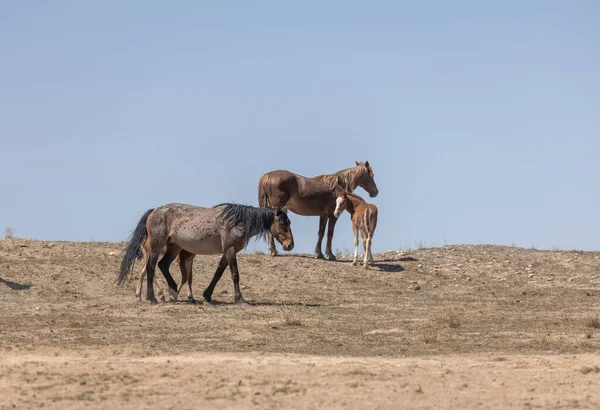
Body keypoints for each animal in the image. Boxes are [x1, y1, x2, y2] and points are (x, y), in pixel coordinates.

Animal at [116, 203, 294, 304]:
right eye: (283, 223)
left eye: (289, 222)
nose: (290, 245)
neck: (236, 221)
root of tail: (154, 211)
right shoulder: (231, 250)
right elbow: (235, 274)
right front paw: (240, 299)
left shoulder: (227, 252)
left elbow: (218, 273)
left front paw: (207, 295)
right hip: (156, 247)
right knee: (151, 268)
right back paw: (153, 298)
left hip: (172, 248)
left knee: (162, 265)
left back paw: (172, 292)